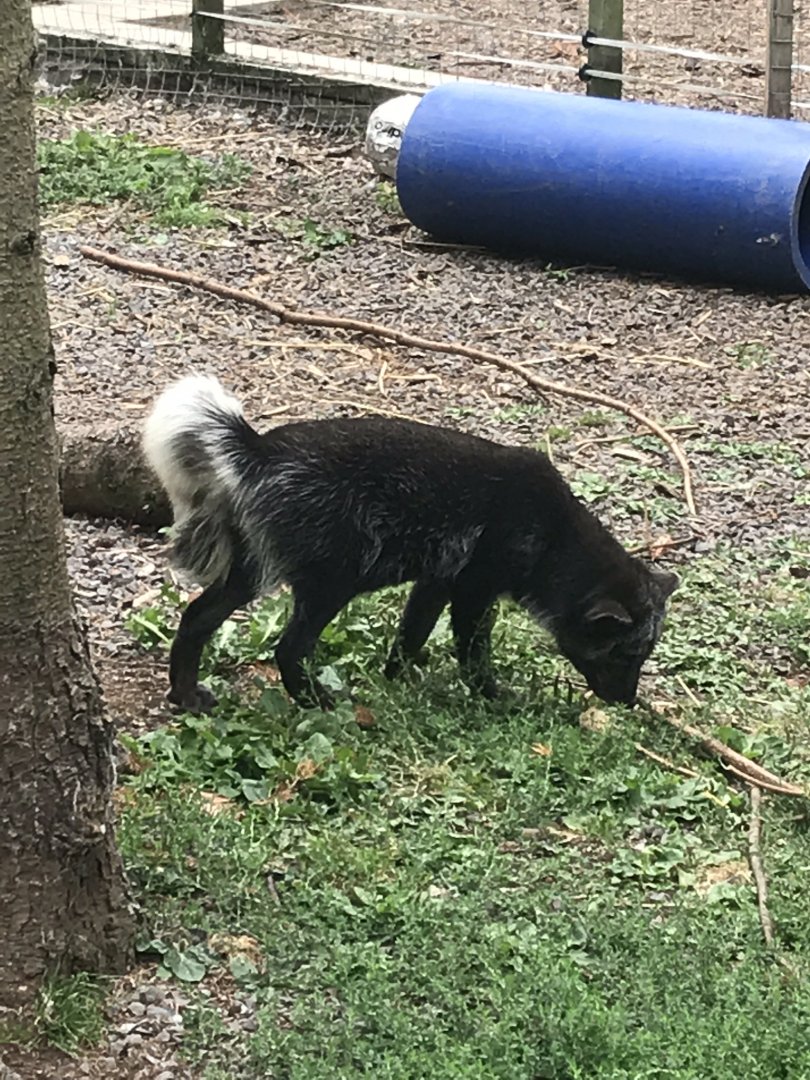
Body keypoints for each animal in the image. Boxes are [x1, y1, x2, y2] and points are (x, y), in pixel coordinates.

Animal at [142, 374, 678, 713]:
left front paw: (397, 680)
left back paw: (187, 697)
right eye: (623, 654)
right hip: (331, 585)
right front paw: (492, 697)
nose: (628, 703)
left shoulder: (436, 581)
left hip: (249, 575)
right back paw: (318, 702)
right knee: (288, 650)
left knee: (195, 620)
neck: (554, 534)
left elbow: (410, 636)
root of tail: (257, 448)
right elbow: (472, 654)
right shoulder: (473, 592)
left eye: (643, 654)